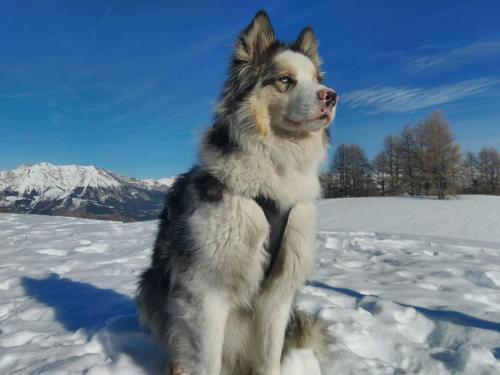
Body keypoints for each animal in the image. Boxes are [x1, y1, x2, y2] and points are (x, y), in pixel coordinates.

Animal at [137, 10, 338, 374]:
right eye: (285, 80)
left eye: (316, 79)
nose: (331, 95)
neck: (275, 168)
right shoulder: (207, 290)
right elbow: (206, 361)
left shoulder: (279, 294)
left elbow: (269, 358)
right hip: (151, 287)